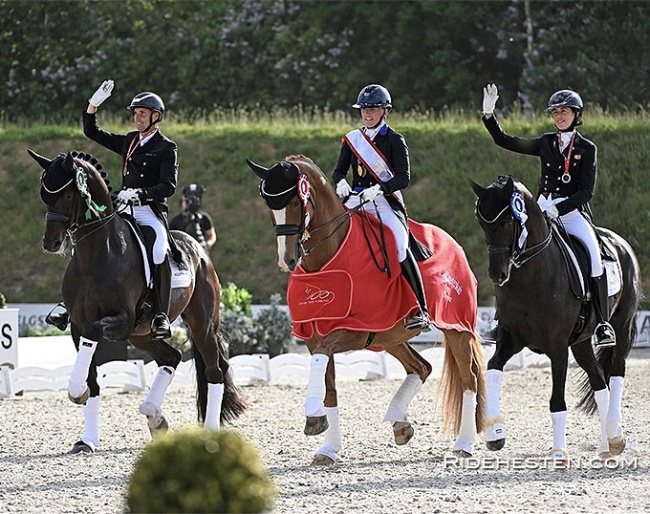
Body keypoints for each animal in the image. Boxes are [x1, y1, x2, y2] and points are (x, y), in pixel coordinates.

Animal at [28, 149, 246, 452]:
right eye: (43, 195)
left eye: (69, 194)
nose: (52, 243)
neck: (95, 255)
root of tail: (198, 248)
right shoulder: (78, 325)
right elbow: (93, 379)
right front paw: (87, 437)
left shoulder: (120, 320)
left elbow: (95, 337)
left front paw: (77, 392)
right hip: (141, 334)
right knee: (172, 356)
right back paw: (155, 416)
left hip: (201, 326)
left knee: (215, 370)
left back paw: (209, 432)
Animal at [248, 154, 486, 462]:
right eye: (270, 207)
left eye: (296, 203)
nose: (286, 259)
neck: (325, 261)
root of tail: (452, 241)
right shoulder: (314, 335)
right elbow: (329, 389)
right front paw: (328, 446)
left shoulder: (352, 332)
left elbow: (324, 359)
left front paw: (313, 416)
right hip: (391, 336)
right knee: (421, 367)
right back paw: (400, 423)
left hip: (456, 327)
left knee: (469, 379)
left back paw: (464, 444)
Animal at [470, 176, 636, 460]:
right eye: (482, 223)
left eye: (506, 222)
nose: (497, 275)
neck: (530, 276)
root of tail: (619, 242)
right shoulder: (510, 339)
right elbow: (492, 369)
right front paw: (495, 434)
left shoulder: (557, 347)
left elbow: (557, 400)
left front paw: (559, 451)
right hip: (581, 342)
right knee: (599, 381)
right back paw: (606, 445)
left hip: (621, 326)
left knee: (616, 373)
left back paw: (615, 434)